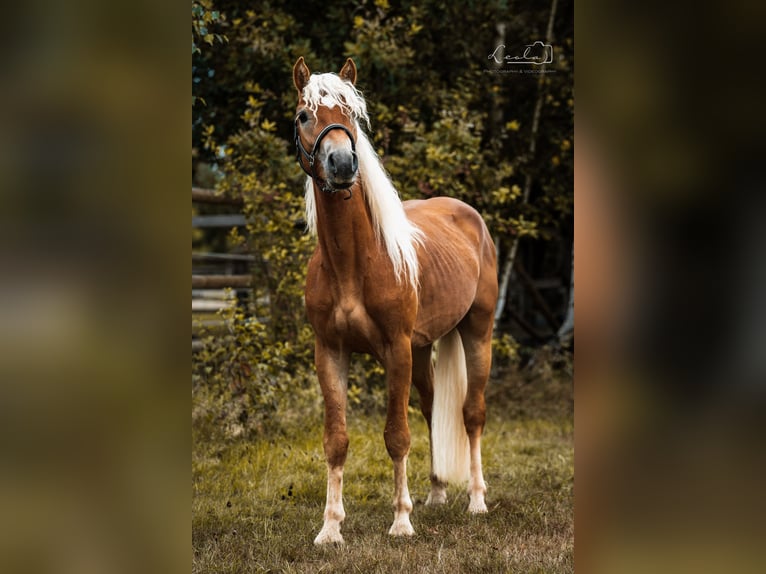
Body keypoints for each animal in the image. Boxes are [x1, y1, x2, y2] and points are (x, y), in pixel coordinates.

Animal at [292, 57, 498, 544]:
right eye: (305, 116)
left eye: (352, 114)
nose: (342, 162)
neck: (352, 264)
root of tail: (469, 215)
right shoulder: (330, 352)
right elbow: (336, 440)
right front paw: (330, 528)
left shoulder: (396, 349)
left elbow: (396, 436)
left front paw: (401, 521)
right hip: (423, 348)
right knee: (432, 408)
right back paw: (438, 493)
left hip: (477, 333)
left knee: (472, 413)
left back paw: (476, 500)